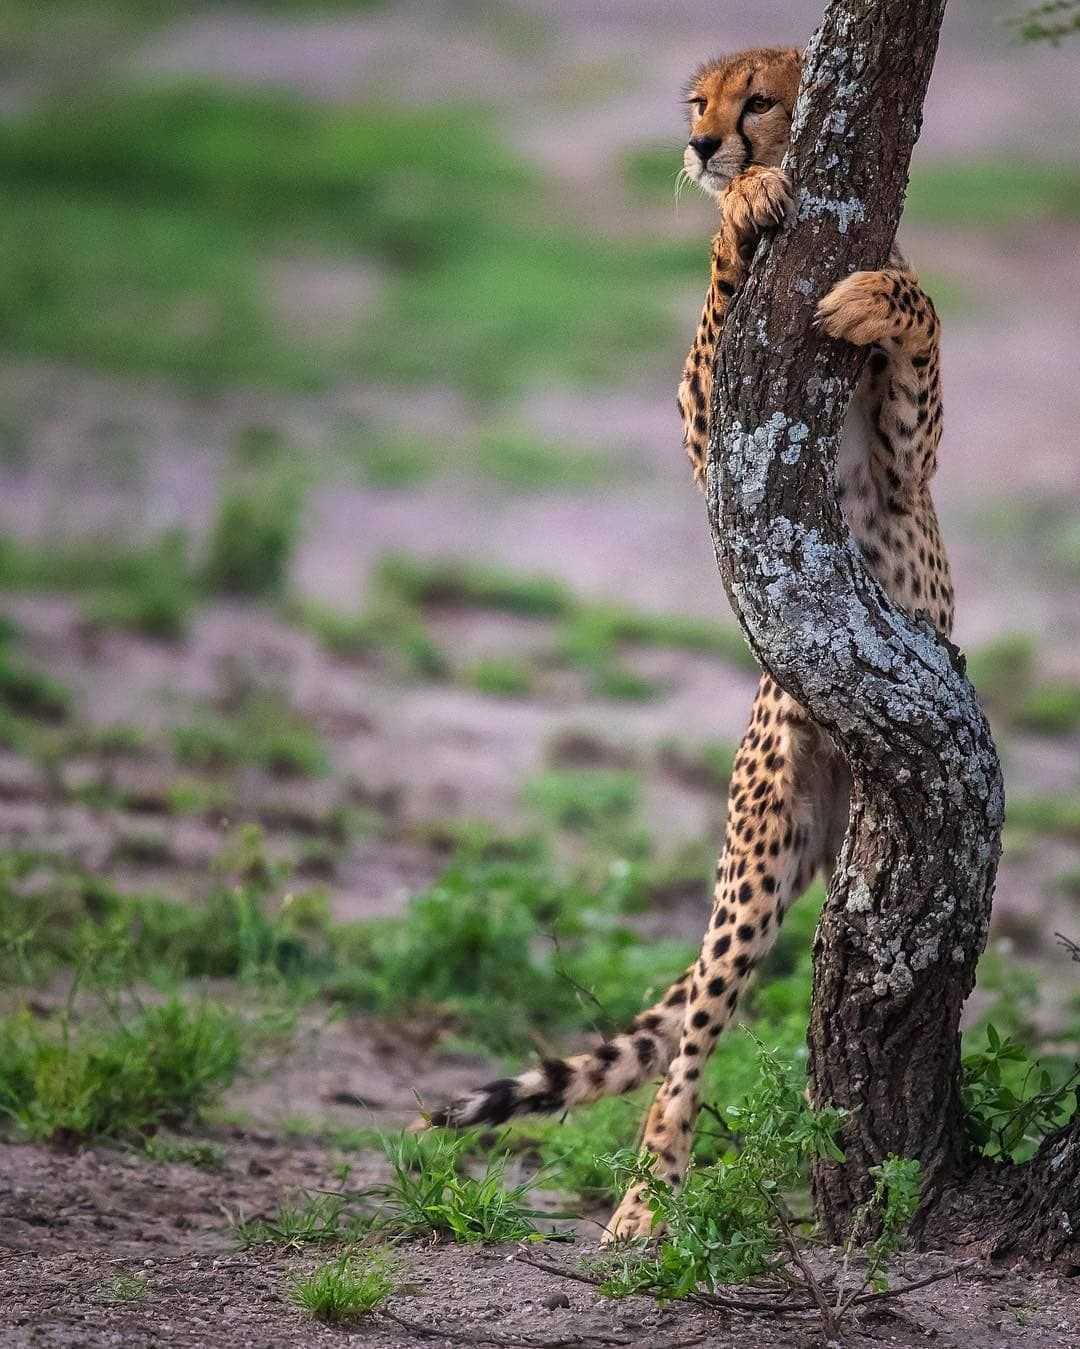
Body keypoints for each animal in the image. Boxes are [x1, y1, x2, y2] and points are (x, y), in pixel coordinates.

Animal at [412, 44, 954, 1241]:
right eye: (699, 101)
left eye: (760, 100)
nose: (707, 145)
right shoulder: (721, 438)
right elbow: (713, 319)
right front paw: (741, 215)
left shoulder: (909, 467)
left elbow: (920, 316)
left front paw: (873, 292)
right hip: (761, 850)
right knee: (690, 1044)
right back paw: (645, 1200)